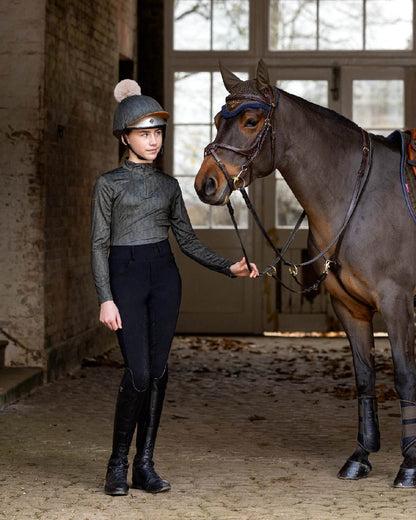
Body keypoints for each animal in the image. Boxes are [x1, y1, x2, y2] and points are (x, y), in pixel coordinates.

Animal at [194, 61, 416, 488]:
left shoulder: (398, 305)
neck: (357, 197)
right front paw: (360, 456)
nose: (205, 184)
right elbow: (365, 378)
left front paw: (410, 466)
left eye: (250, 121)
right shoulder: (350, 308)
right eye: (216, 120)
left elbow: (404, 377)